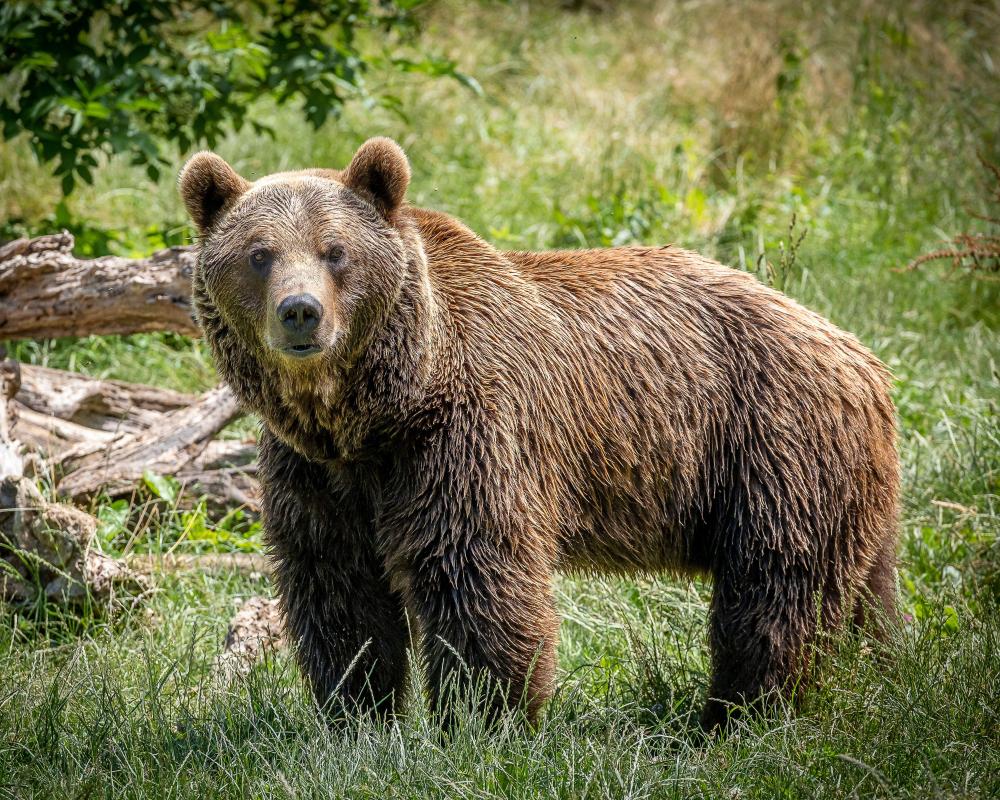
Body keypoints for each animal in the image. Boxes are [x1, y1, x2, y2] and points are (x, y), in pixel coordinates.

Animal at [179, 137, 899, 730]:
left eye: (336, 251)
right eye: (259, 254)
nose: (300, 313)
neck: (377, 410)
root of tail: (862, 357)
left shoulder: (464, 431)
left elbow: (472, 571)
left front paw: (482, 718)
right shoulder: (316, 469)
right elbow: (337, 584)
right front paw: (358, 715)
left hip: (770, 444)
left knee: (773, 591)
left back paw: (735, 715)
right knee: (870, 587)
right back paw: (891, 669)